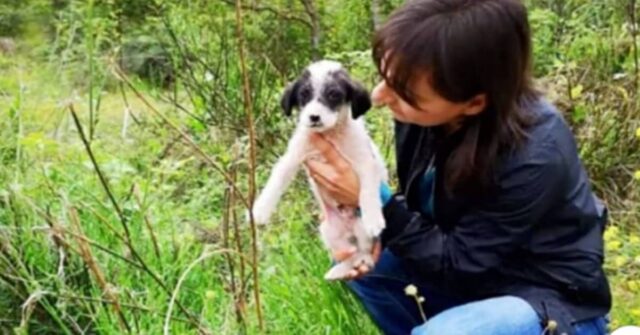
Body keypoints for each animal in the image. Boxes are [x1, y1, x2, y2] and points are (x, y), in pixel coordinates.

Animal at [252, 59, 388, 280]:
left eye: (333, 94)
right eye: (304, 95)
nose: (314, 117)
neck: (329, 134)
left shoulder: (366, 162)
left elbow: (367, 190)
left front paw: (373, 218)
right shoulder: (292, 157)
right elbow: (276, 180)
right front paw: (260, 210)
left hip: (361, 233)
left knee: (364, 253)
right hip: (328, 231)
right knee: (351, 254)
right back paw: (338, 270)